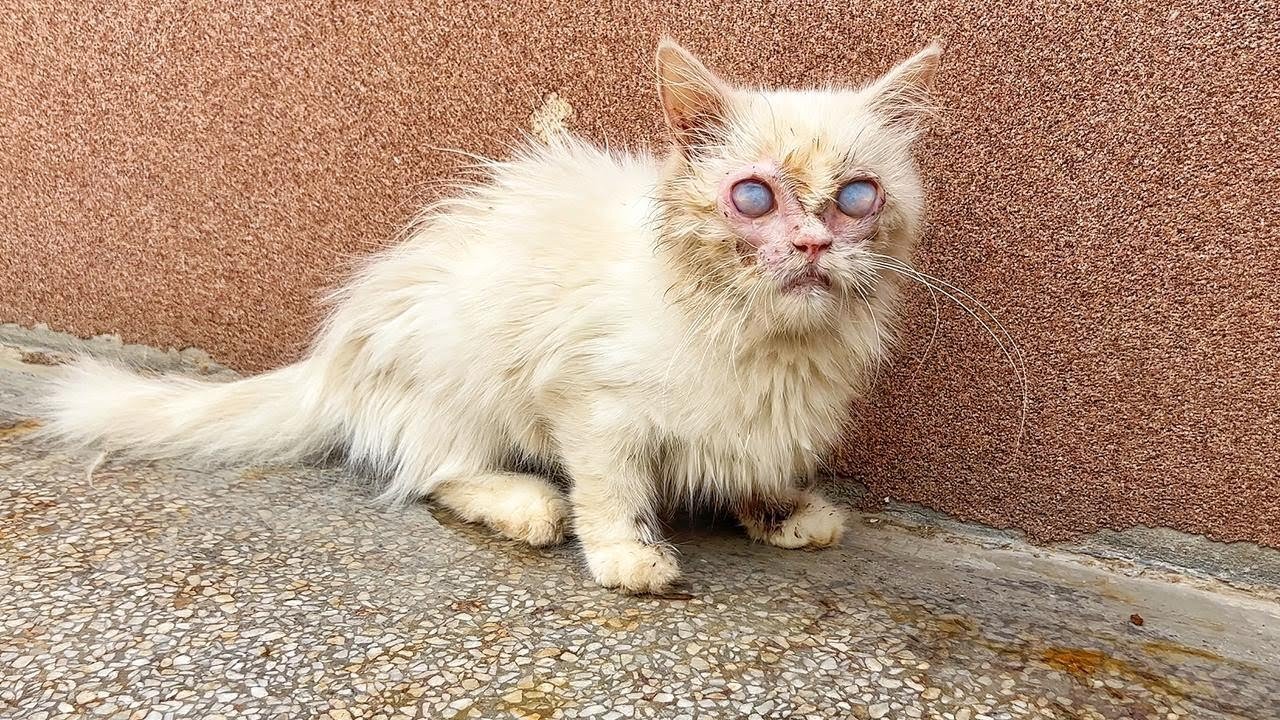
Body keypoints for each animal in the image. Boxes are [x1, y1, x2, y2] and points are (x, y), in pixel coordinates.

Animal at [42, 37, 942, 589]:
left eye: (857, 197)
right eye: (753, 197)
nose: (813, 243)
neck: (768, 340)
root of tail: (331, 360)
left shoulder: (764, 420)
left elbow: (759, 467)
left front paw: (783, 512)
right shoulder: (590, 402)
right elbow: (610, 490)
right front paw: (628, 558)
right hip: (460, 371)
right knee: (433, 473)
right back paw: (527, 506)